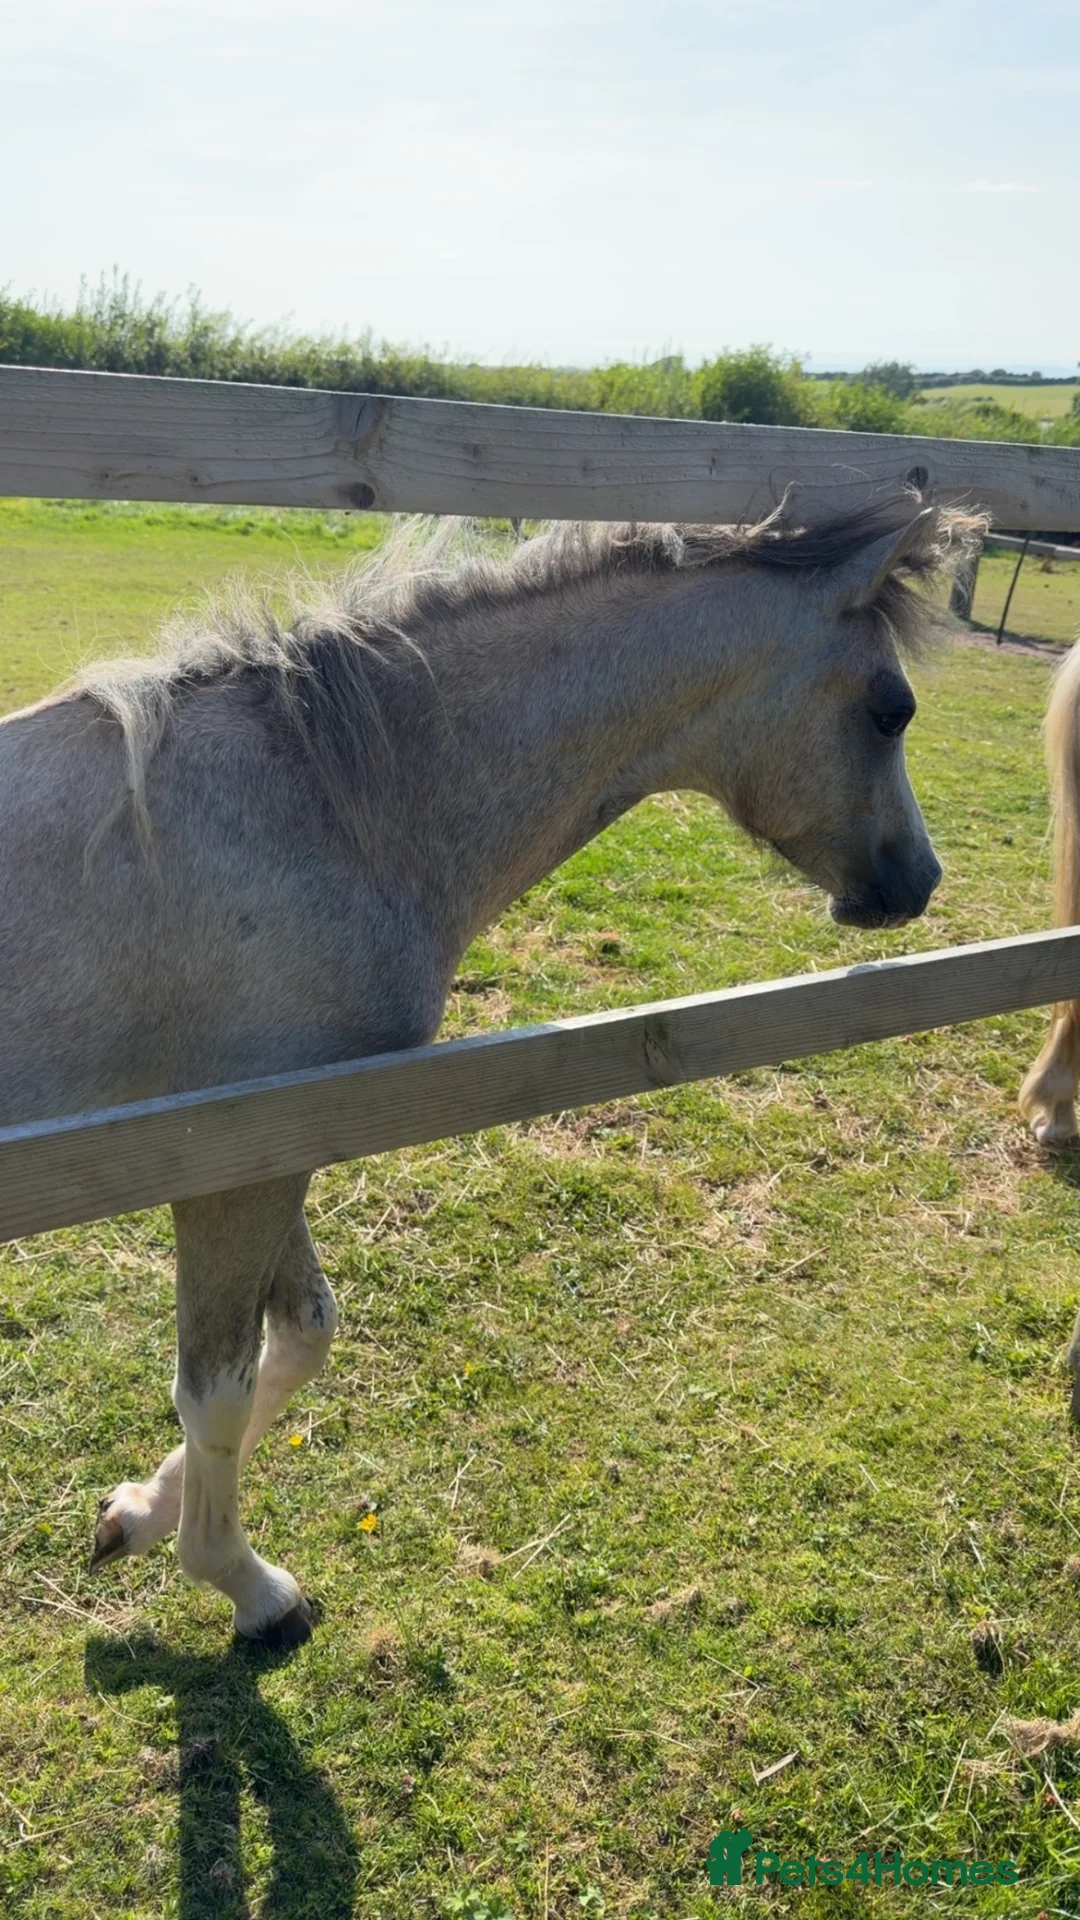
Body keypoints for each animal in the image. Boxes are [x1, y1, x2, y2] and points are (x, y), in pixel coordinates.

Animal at [0, 499, 981, 1644]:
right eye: (891, 708)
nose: (917, 881)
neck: (320, 803)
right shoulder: (232, 1169)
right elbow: (219, 1388)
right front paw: (248, 1586)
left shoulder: (282, 1143)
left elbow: (304, 1337)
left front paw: (133, 1519)